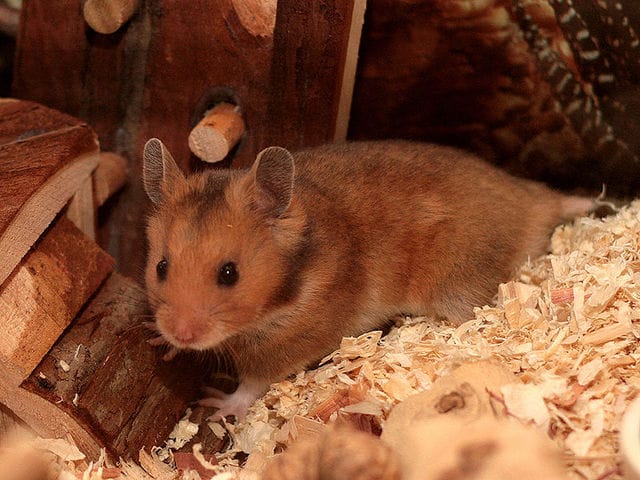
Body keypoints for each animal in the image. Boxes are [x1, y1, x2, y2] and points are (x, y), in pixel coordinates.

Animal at [142, 139, 593, 419]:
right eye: (161, 267)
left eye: (229, 273)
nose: (182, 334)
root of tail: (537, 203)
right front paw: (160, 343)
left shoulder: (294, 342)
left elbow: (252, 384)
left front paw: (218, 403)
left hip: (458, 286)